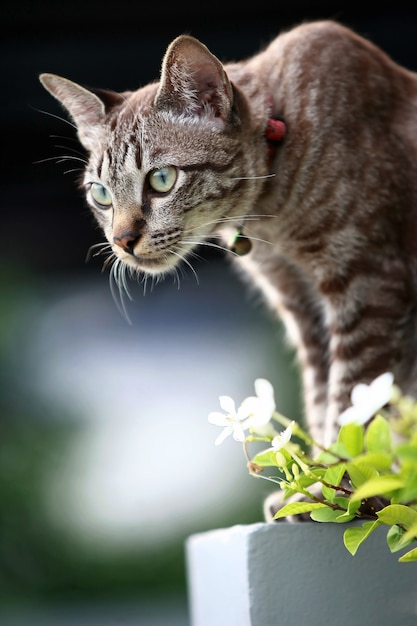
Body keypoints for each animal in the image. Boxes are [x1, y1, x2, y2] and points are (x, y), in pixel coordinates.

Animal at [40, 19, 416, 468]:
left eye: (161, 180)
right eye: (100, 194)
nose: (121, 241)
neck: (270, 221)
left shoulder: (366, 284)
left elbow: (352, 410)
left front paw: (339, 476)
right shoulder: (302, 309)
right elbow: (321, 401)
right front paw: (311, 478)